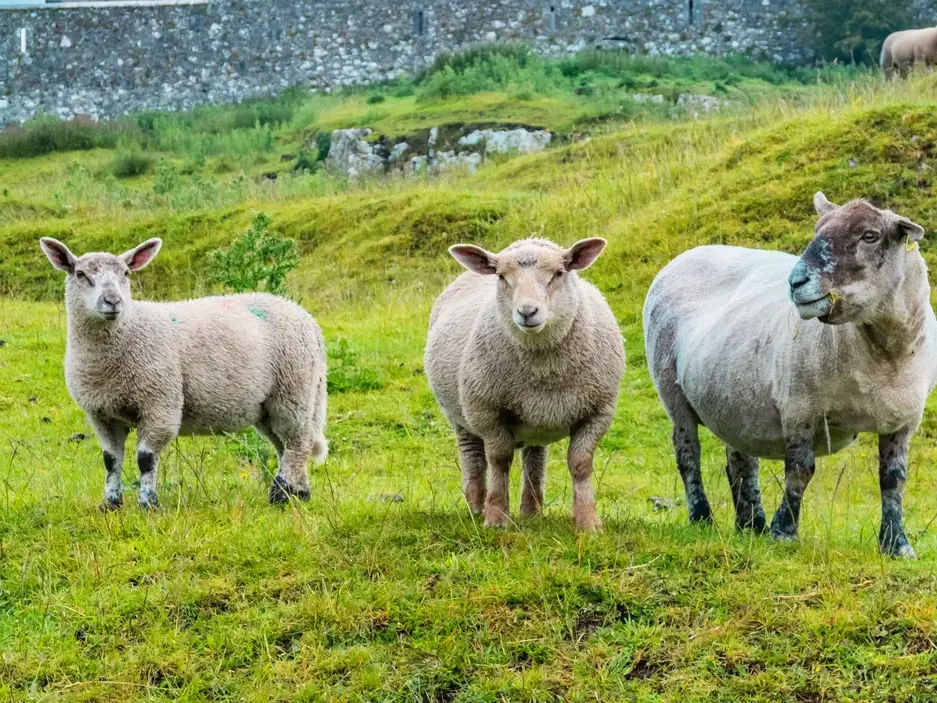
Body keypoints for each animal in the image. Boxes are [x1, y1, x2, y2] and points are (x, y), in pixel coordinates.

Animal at [39, 237, 328, 510]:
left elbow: (145, 459)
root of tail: (307, 319)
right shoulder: (101, 413)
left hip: (293, 390)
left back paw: (280, 495)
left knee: (297, 443)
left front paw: (149, 504)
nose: (112, 301)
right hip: (269, 405)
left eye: (126, 273)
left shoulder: (160, 404)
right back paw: (299, 493)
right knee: (284, 445)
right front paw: (110, 504)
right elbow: (110, 460)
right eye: (80, 274)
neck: (129, 330)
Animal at [425, 237, 625, 531]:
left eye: (559, 273)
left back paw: (531, 512)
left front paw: (588, 521)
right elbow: (499, 461)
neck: (545, 369)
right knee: (474, 458)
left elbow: (580, 463)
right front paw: (496, 517)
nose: (527, 312)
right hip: (460, 415)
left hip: (536, 421)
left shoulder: (598, 412)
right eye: (501, 276)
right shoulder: (487, 412)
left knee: (534, 459)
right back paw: (477, 509)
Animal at [643, 193, 937, 558]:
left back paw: (750, 524)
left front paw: (897, 544)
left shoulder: (904, 420)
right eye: (818, 229)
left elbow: (893, 478)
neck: (883, 357)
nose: (796, 282)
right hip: (672, 391)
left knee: (739, 460)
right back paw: (703, 517)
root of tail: (690, 252)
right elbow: (800, 470)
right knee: (688, 455)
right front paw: (783, 532)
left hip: (734, 398)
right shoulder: (800, 406)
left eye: (870, 235)